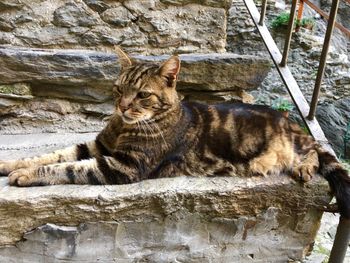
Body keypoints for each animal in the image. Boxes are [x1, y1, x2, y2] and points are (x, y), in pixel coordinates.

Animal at [0, 47, 350, 219]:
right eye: (119, 89)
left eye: (142, 95)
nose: (122, 106)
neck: (124, 126)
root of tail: (289, 120)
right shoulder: (99, 146)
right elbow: (52, 155)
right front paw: (11, 164)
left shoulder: (123, 166)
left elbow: (67, 167)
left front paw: (26, 175)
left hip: (291, 145)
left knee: (316, 151)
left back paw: (304, 168)